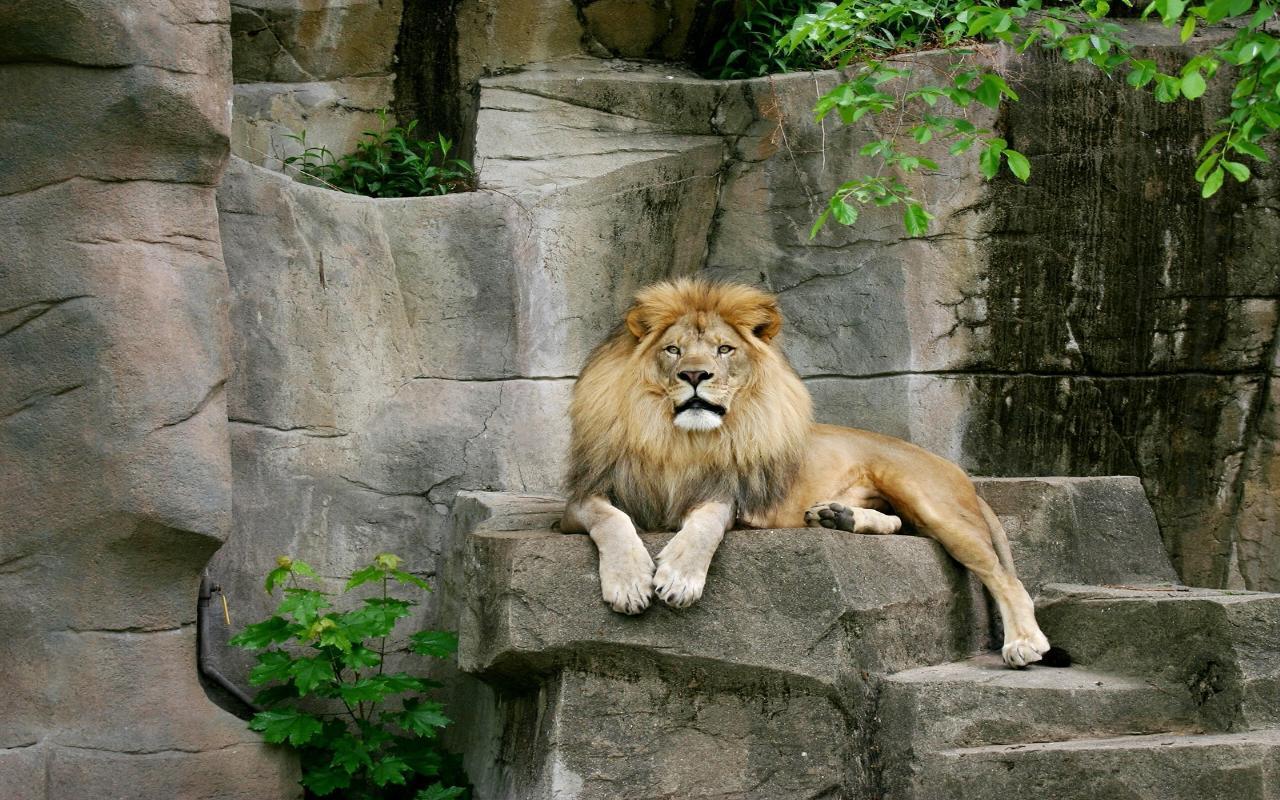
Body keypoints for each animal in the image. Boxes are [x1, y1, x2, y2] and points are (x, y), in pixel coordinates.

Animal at [565, 277, 1064, 665]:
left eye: (724, 349)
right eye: (673, 350)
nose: (694, 375)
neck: (678, 441)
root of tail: (955, 469)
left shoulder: (731, 496)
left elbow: (705, 522)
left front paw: (680, 577)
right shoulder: (580, 499)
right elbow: (611, 519)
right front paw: (630, 583)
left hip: (926, 497)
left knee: (1006, 577)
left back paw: (1023, 642)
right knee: (901, 525)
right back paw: (838, 517)